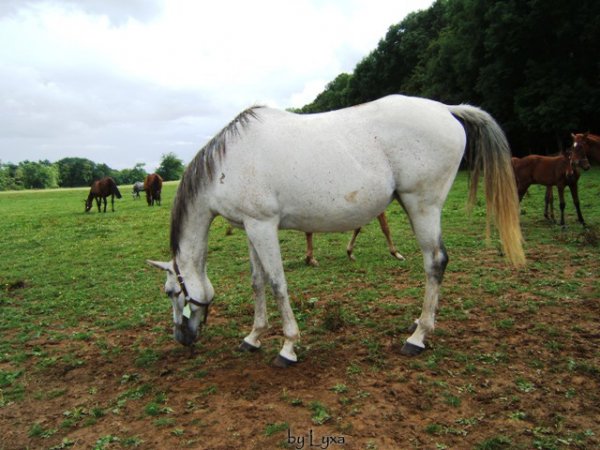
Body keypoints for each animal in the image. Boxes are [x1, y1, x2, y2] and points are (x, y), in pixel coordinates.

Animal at [146, 94, 524, 366]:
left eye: (171, 292)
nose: (182, 338)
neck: (229, 162)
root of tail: (446, 109)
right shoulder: (251, 227)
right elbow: (258, 283)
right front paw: (253, 338)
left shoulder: (264, 226)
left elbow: (277, 284)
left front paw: (288, 347)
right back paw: (417, 326)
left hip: (423, 206)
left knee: (436, 262)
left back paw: (418, 338)